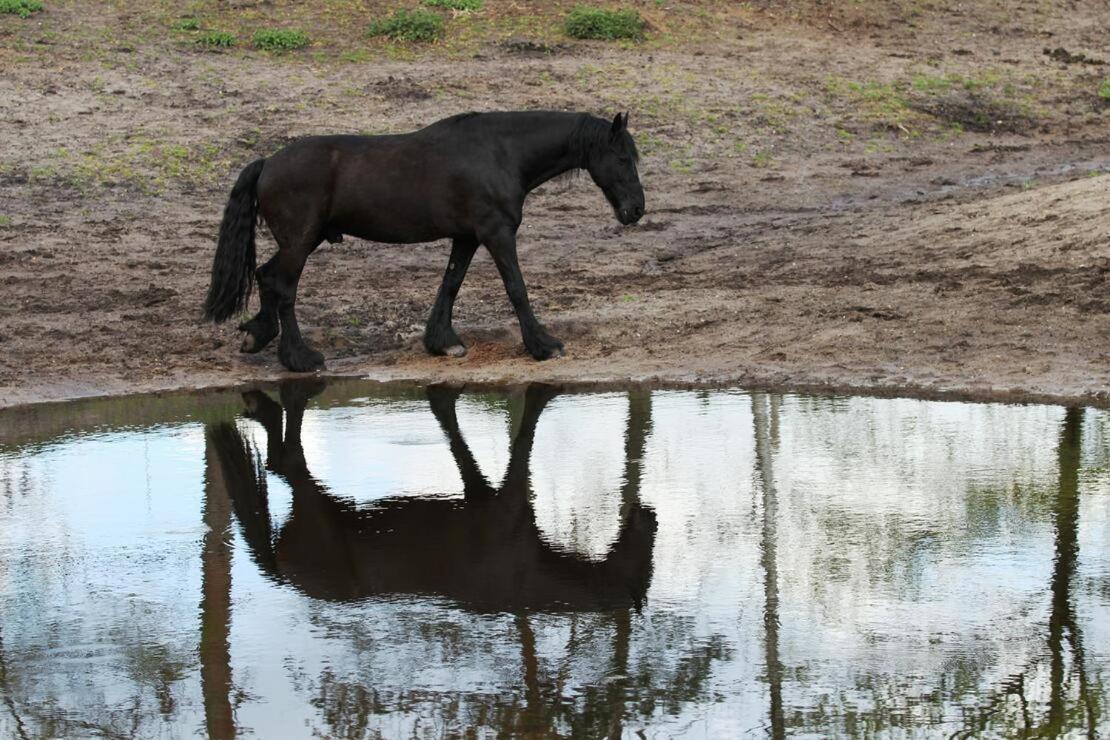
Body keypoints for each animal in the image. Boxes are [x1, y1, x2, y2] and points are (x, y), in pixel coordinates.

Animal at [204, 109, 648, 370]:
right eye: (622, 158)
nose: (636, 210)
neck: (500, 153)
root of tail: (267, 163)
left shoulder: (467, 237)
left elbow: (450, 284)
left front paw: (441, 341)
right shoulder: (497, 234)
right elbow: (516, 288)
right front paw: (542, 344)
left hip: (300, 243)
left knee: (266, 276)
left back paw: (258, 334)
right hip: (300, 243)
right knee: (283, 288)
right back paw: (300, 357)